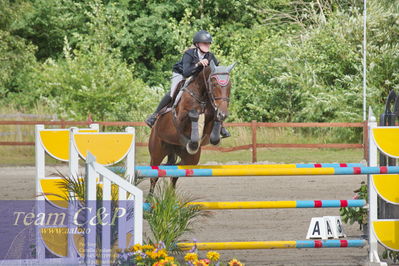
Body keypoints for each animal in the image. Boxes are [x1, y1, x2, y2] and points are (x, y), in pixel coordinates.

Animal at [148, 60, 236, 193]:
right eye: (214, 84)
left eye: (229, 85)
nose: (224, 113)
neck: (202, 95)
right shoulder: (179, 120)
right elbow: (193, 114)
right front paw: (193, 142)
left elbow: (214, 135)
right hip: (157, 152)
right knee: (154, 176)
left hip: (190, 159)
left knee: (176, 171)